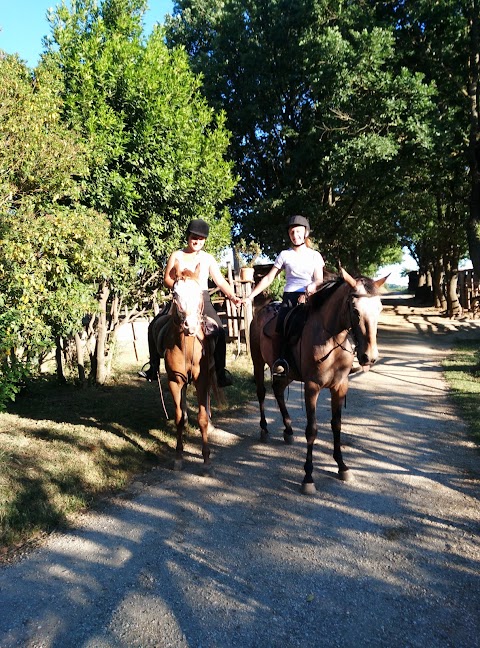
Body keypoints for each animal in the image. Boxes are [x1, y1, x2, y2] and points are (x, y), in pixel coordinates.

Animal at [157, 260, 217, 474]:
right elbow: (179, 418)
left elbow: (202, 417)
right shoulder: (175, 381)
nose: (190, 326)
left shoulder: (202, 380)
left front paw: (206, 460)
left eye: (199, 292)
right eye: (175, 293)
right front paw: (178, 457)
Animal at [249, 266, 388, 494]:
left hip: (288, 374)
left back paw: (288, 430)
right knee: (261, 392)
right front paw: (308, 477)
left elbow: (336, 424)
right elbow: (312, 430)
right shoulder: (312, 387)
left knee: (278, 390)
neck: (330, 338)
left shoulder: (340, 386)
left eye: (380, 308)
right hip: (258, 362)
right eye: (355, 310)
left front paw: (342, 466)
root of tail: (262, 311)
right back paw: (264, 429)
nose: (370, 357)